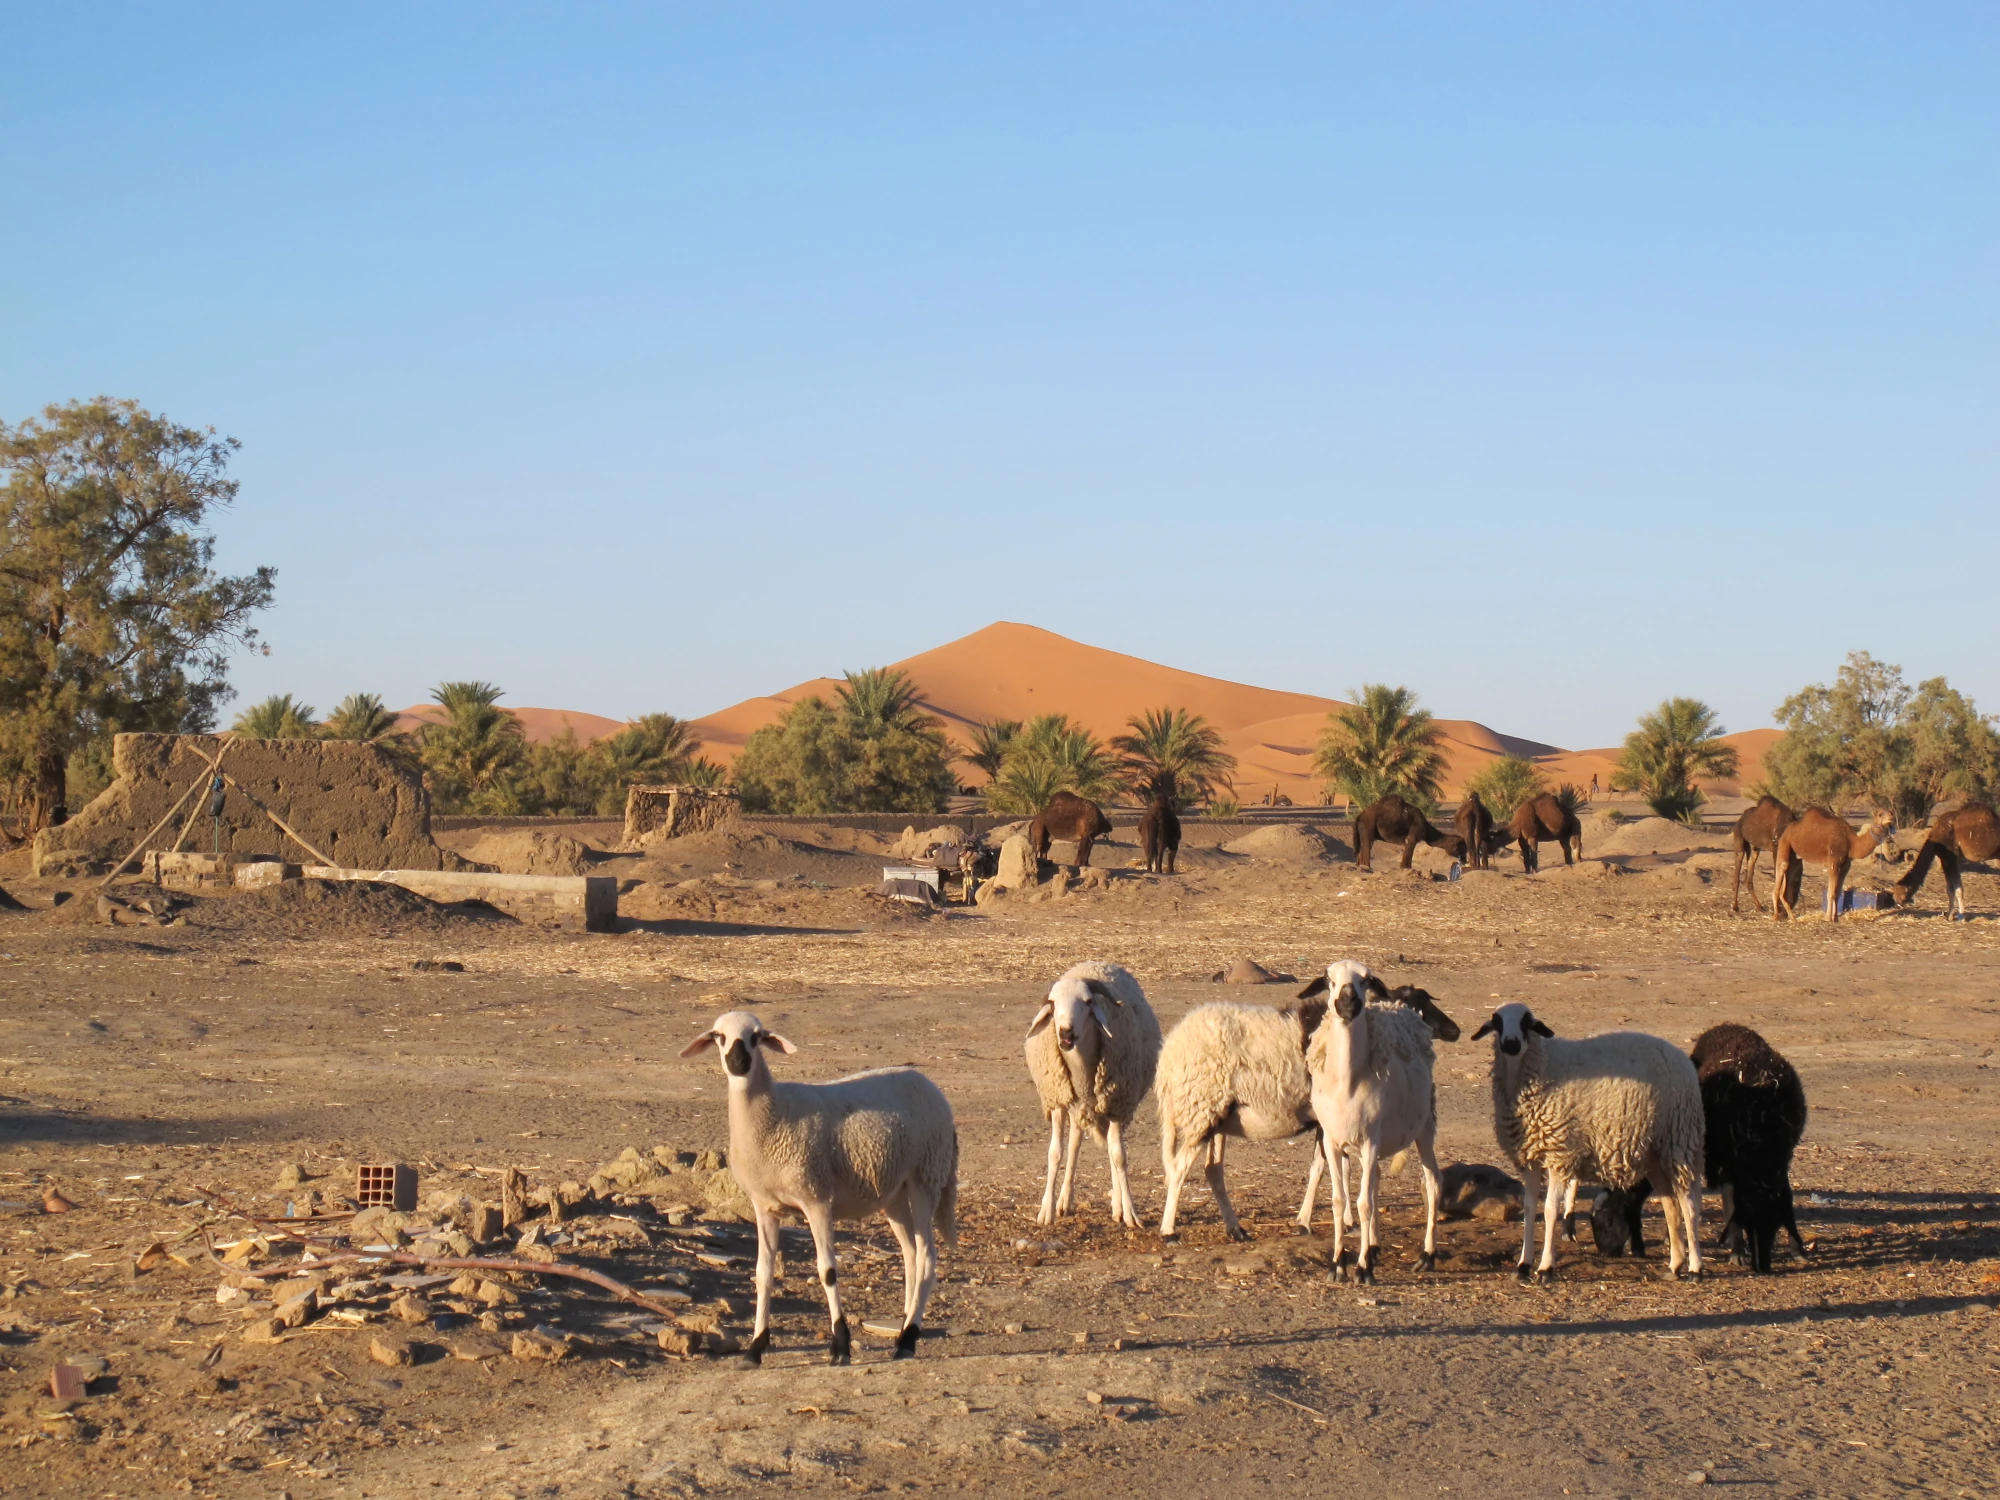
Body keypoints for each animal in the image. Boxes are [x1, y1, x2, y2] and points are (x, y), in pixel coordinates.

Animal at [684, 1016, 956, 1368]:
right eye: (718, 1036)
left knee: (926, 1257)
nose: (739, 1063)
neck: (774, 1113)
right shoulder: (764, 1206)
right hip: (894, 1192)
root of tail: (929, 1084)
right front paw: (755, 1348)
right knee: (911, 1255)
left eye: (756, 1037)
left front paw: (840, 1345)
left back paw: (909, 1338)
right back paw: (902, 1334)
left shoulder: (816, 1198)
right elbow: (763, 1274)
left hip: (927, 1176)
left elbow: (827, 1271)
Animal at [1296, 968, 1456, 1288]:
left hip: (1424, 1127)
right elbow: (1339, 1200)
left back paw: (1427, 1255)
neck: (1347, 1083)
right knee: (1376, 1183)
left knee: (1433, 1182)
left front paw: (1363, 1269)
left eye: (1365, 979)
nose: (1348, 1002)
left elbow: (1363, 1205)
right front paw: (1338, 1264)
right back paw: (1374, 1246)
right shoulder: (1333, 1140)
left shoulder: (1370, 1141)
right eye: (1329, 979)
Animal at [1344, 792, 1472, 876]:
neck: (1426, 829)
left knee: (1362, 849)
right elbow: (1409, 854)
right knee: (1367, 847)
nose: (1464, 860)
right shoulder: (1413, 836)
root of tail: (1360, 815)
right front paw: (1406, 869)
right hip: (1368, 828)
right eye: (1462, 847)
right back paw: (1368, 868)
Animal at [1472, 1012, 1704, 1280]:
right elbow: (1530, 1209)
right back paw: (1675, 1265)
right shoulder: (1530, 1158)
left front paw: (1545, 1267)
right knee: (1671, 1205)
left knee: (1689, 1204)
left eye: (1526, 1021)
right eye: (1497, 1022)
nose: (1511, 1043)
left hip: (1680, 1141)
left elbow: (1550, 1209)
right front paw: (1523, 1265)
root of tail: (1680, 1056)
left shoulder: (1560, 1155)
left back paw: (1696, 1268)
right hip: (1655, 1154)